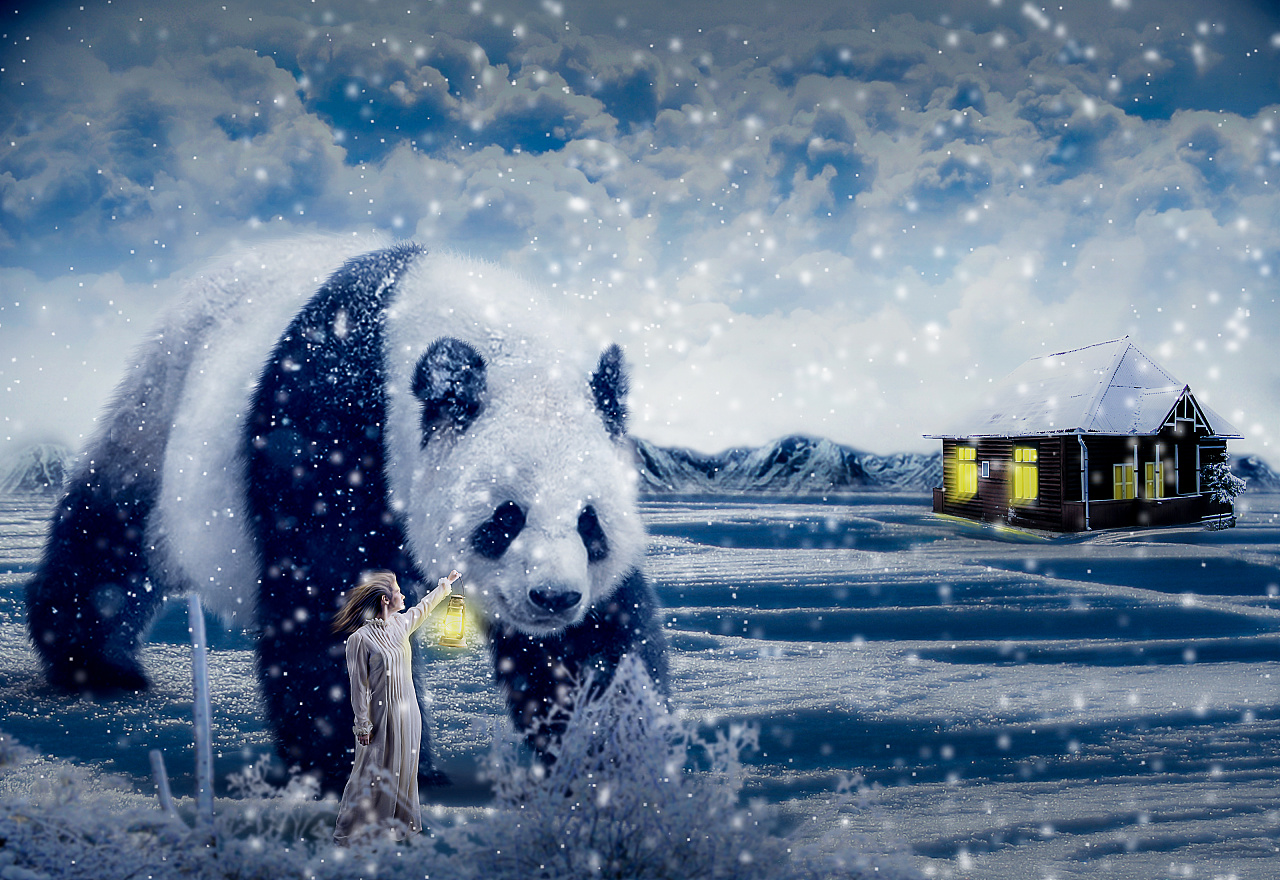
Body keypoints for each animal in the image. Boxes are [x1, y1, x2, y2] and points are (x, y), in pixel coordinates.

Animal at [25, 237, 667, 789]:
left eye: (590, 523)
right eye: (506, 518)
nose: (552, 598)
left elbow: (594, 641)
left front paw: (611, 753)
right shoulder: (329, 422)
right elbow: (328, 594)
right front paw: (356, 764)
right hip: (161, 400)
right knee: (110, 535)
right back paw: (95, 665)